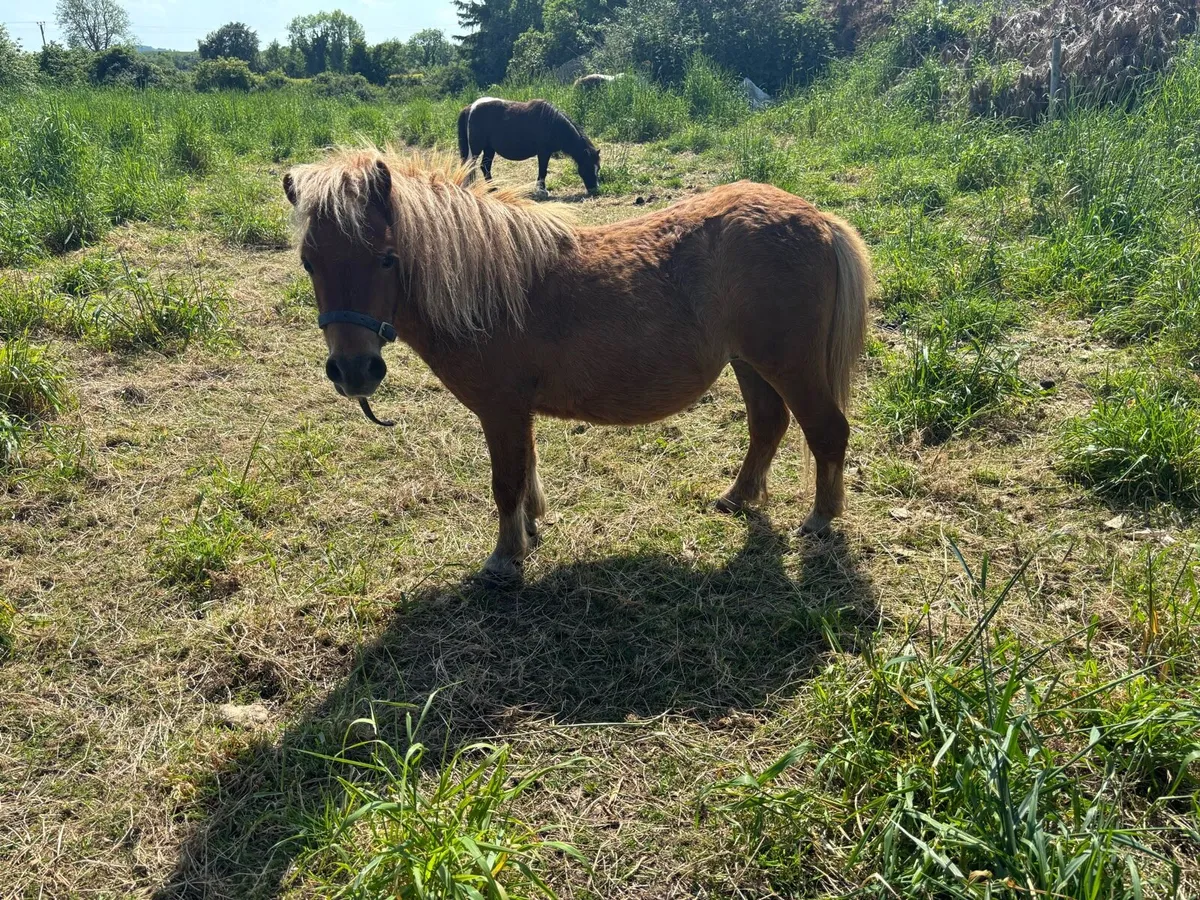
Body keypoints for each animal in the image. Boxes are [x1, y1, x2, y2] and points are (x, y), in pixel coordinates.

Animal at [283, 149, 872, 583]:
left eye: (386, 259)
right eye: (308, 262)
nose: (354, 372)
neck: (490, 290)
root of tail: (819, 219)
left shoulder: (501, 410)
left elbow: (506, 481)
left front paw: (504, 559)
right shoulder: (516, 412)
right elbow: (526, 475)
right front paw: (529, 532)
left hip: (789, 366)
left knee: (827, 431)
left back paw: (820, 519)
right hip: (750, 364)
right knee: (768, 425)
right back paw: (737, 498)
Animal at [457, 97, 601, 199]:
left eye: (597, 168)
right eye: (587, 167)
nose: (595, 190)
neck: (552, 123)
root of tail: (470, 108)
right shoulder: (544, 152)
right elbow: (542, 171)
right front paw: (542, 191)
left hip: (489, 148)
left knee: (485, 166)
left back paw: (493, 189)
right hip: (476, 149)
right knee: (470, 167)